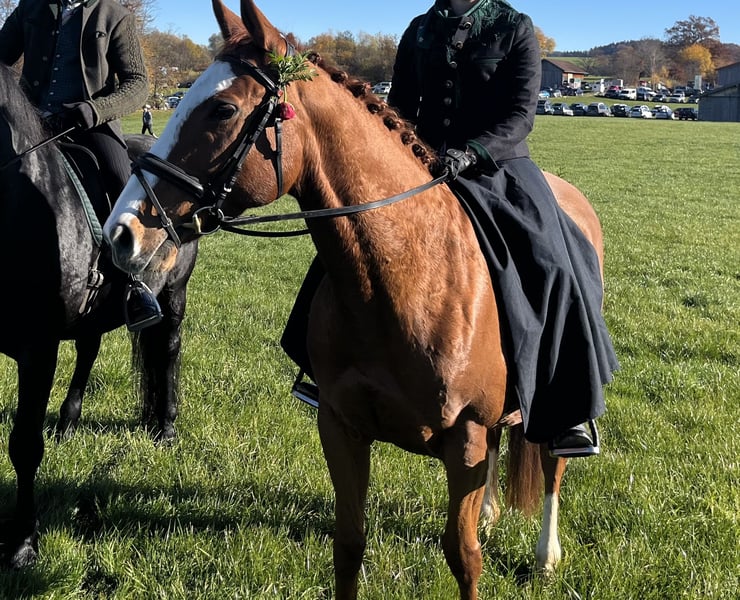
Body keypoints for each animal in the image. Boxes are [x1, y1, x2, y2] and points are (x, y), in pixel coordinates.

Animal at [0, 62, 198, 568]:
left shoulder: (37, 349)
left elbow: (24, 445)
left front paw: (23, 542)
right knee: (89, 349)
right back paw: (69, 421)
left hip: (174, 293)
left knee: (167, 350)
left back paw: (166, 427)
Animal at [103, 1, 606, 597]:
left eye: (223, 109)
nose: (121, 235)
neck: (409, 281)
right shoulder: (342, 429)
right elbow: (348, 545)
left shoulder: (464, 439)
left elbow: (464, 558)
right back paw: (489, 512)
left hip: (560, 395)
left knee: (552, 464)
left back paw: (546, 555)